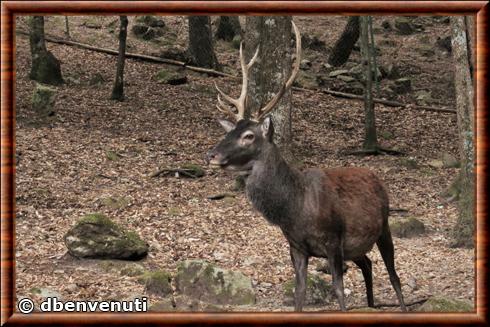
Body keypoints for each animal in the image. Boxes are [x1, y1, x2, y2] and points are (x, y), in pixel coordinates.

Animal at [205, 21, 408, 314]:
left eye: (249, 136)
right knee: (368, 264)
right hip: (357, 247)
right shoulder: (296, 246)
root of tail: (375, 177)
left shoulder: (333, 241)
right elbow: (299, 292)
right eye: (229, 131)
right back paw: (371, 305)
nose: (211, 154)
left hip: (384, 227)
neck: (295, 210)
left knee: (394, 275)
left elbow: (338, 290)